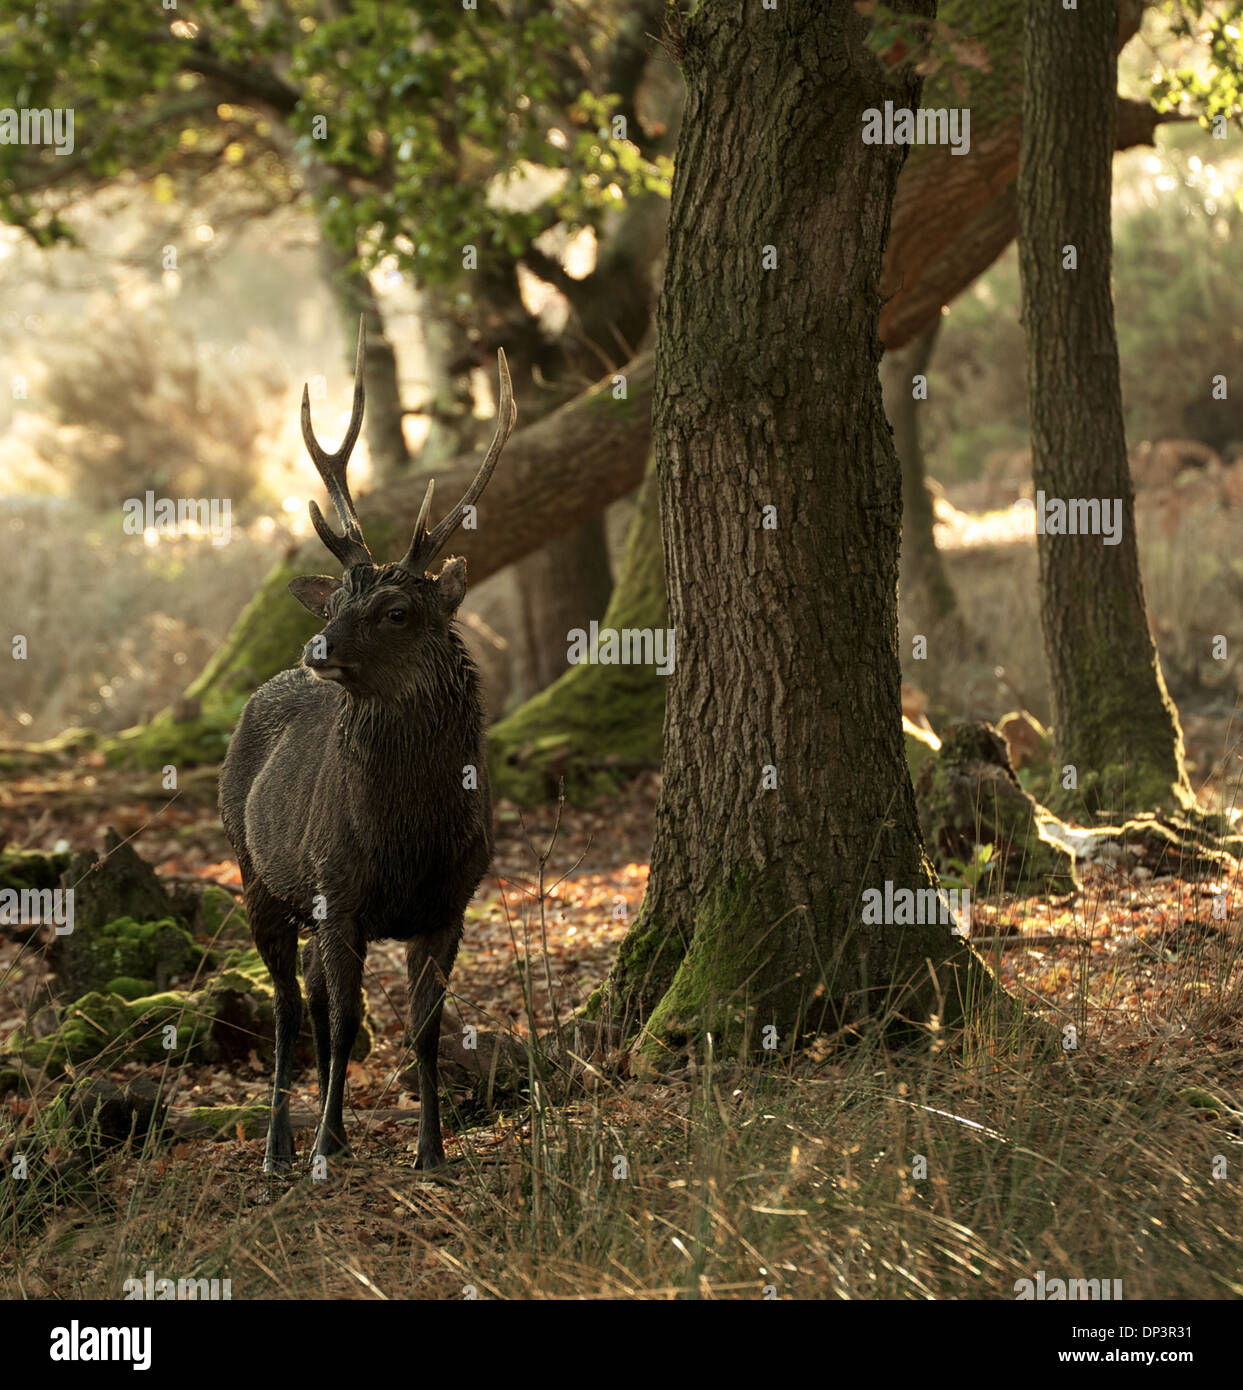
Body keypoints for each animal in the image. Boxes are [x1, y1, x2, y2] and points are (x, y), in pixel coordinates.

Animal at [219, 319, 517, 1167]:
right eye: (337, 600)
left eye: (395, 610)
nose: (315, 648)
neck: (404, 837)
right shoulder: (341, 890)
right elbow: (350, 1023)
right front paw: (322, 1145)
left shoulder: (452, 900)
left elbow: (420, 1033)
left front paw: (431, 1152)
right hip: (255, 872)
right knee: (291, 1008)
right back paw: (283, 1146)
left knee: (314, 1002)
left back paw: (336, 1132)